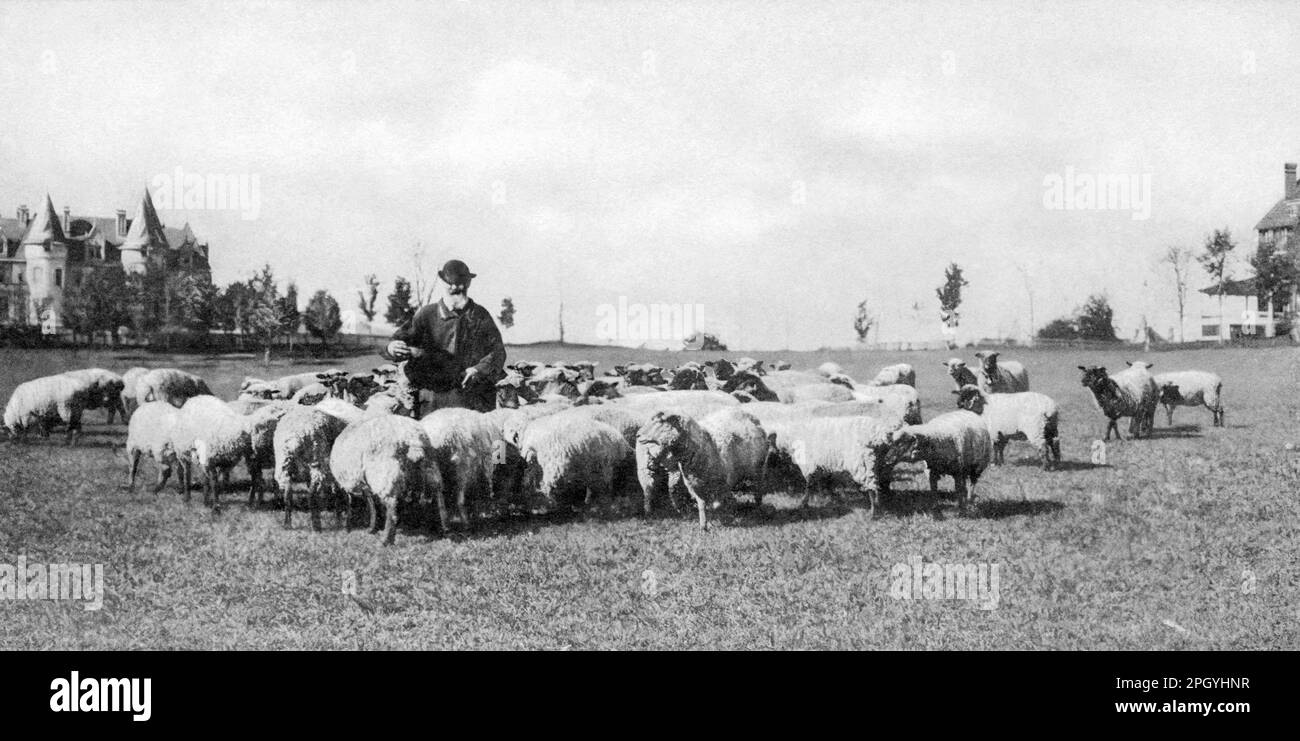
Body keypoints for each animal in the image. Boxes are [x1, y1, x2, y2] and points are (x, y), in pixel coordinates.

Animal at [327, 413, 449, 546]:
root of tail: (412, 438)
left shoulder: (349, 484)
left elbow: (352, 503)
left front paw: (348, 526)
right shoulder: (363, 485)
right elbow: (372, 504)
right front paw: (371, 527)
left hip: (384, 472)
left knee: (391, 505)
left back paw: (386, 539)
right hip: (430, 465)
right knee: (439, 492)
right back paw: (445, 528)